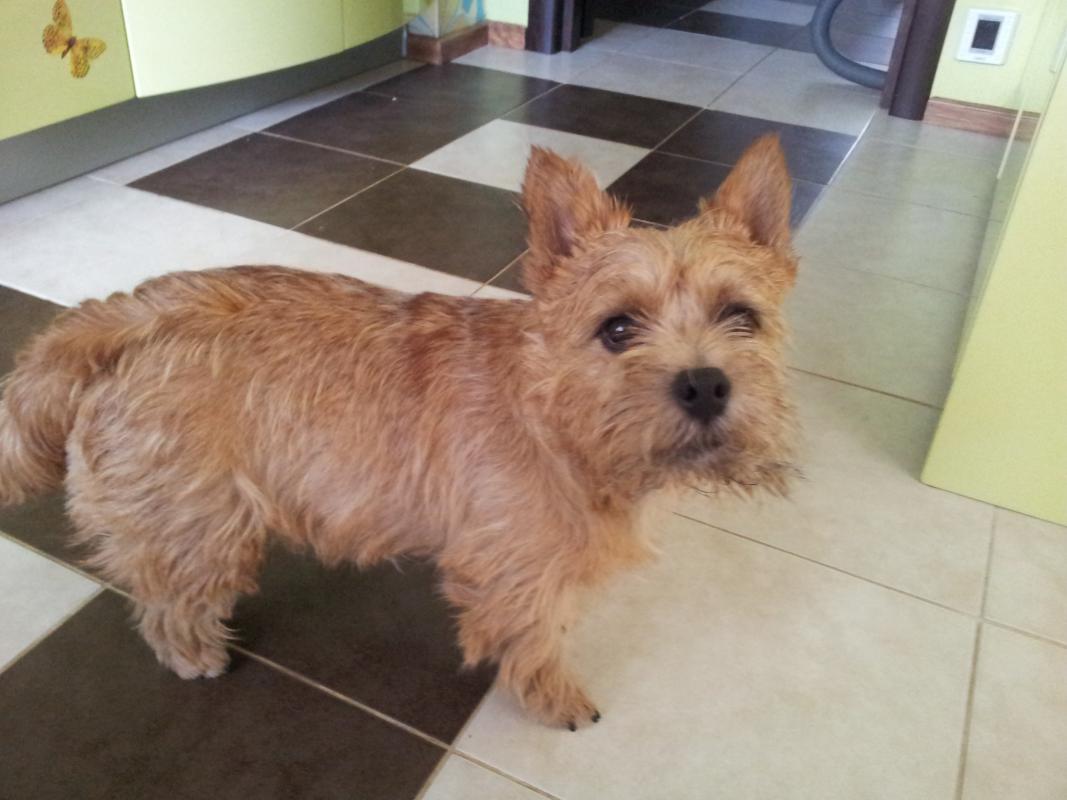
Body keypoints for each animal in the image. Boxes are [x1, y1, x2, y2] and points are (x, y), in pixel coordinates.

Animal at [0, 136, 798, 729]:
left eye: (741, 316)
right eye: (618, 328)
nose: (704, 383)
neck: (558, 418)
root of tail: (125, 314)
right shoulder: (518, 573)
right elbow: (537, 637)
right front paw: (553, 697)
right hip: (200, 524)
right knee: (167, 605)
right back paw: (198, 654)